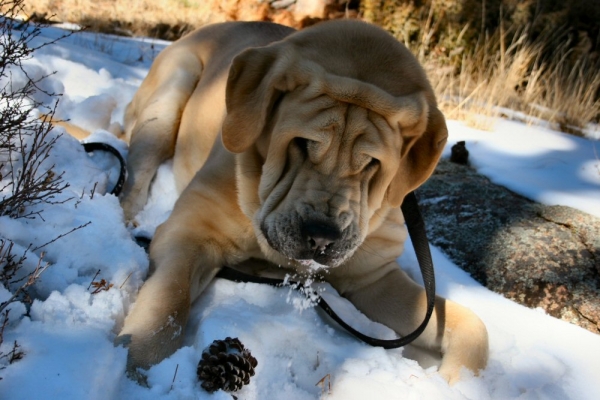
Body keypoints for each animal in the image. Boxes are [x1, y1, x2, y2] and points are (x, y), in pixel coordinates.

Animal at [115, 18, 490, 384]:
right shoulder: (190, 232)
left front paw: (458, 382)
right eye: (303, 143)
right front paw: (140, 367)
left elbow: (470, 325)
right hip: (171, 94)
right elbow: (167, 301)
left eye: (372, 162)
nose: (322, 236)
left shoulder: (373, 277)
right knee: (136, 174)